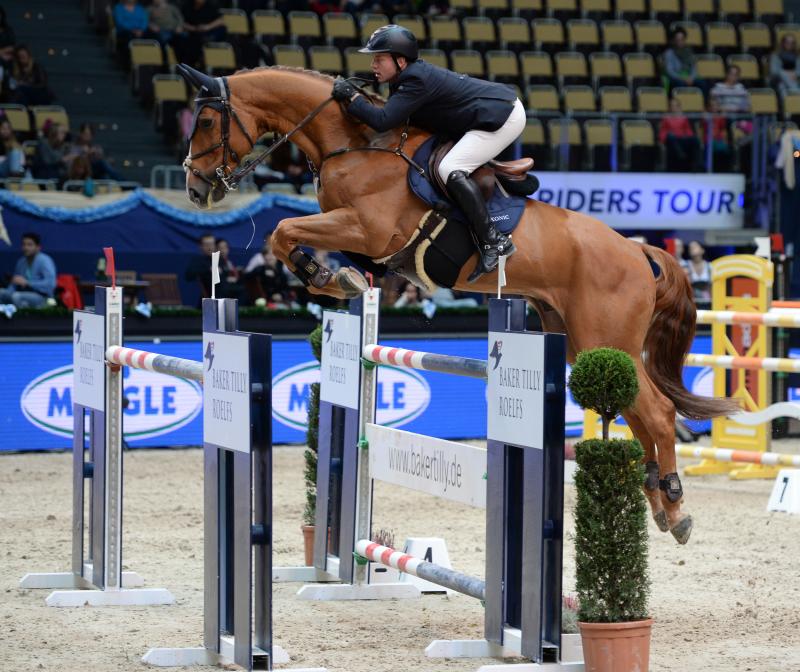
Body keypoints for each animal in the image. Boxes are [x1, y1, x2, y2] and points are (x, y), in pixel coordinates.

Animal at [177, 63, 739, 545]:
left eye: (204, 120)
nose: (196, 189)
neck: (354, 145)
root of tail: (638, 249)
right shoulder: (361, 238)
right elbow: (288, 234)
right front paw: (339, 279)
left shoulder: (366, 229)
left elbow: (282, 229)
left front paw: (332, 279)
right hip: (585, 344)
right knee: (637, 411)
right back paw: (657, 500)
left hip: (606, 335)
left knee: (659, 412)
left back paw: (675, 506)